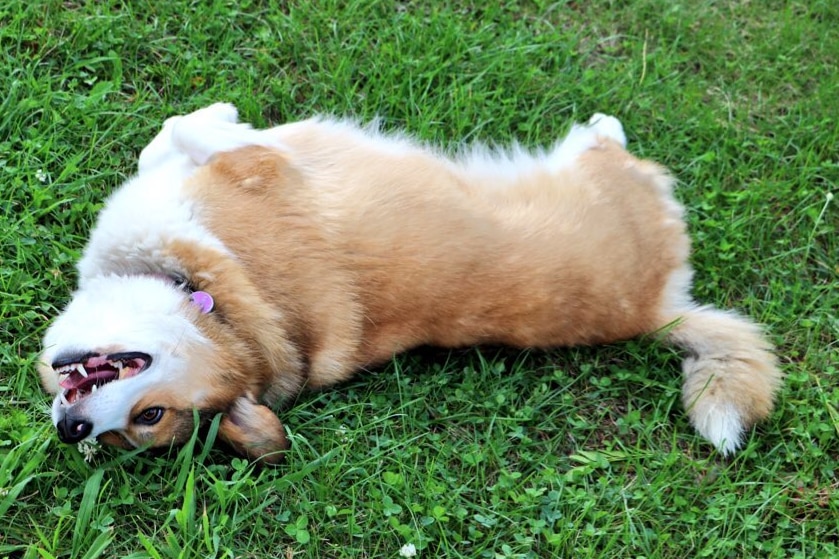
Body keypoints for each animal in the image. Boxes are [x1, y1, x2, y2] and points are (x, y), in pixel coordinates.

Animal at [34, 103, 780, 462]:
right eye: (117, 438)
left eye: (149, 416)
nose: (72, 429)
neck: (220, 311)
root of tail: (656, 311)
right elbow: (176, 137)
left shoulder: (256, 162)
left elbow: (181, 131)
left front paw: (213, 113)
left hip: (599, 173)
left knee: (606, 143)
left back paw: (601, 122)